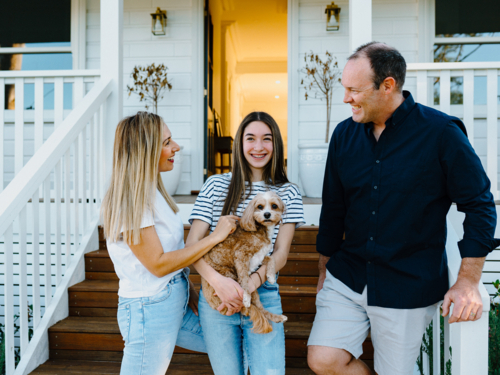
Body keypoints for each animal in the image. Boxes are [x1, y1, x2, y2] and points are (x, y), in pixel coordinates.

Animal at [202, 192, 290, 334]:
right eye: (260, 207)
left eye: (274, 206)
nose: (267, 214)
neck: (261, 230)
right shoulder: (241, 255)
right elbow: (243, 277)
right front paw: (246, 298)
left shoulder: (259, 257)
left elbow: (271, 259)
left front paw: (270, 276)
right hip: (228, 275)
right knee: (249, 307)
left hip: (254, 291)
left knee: (261, 309)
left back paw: (277, 317)